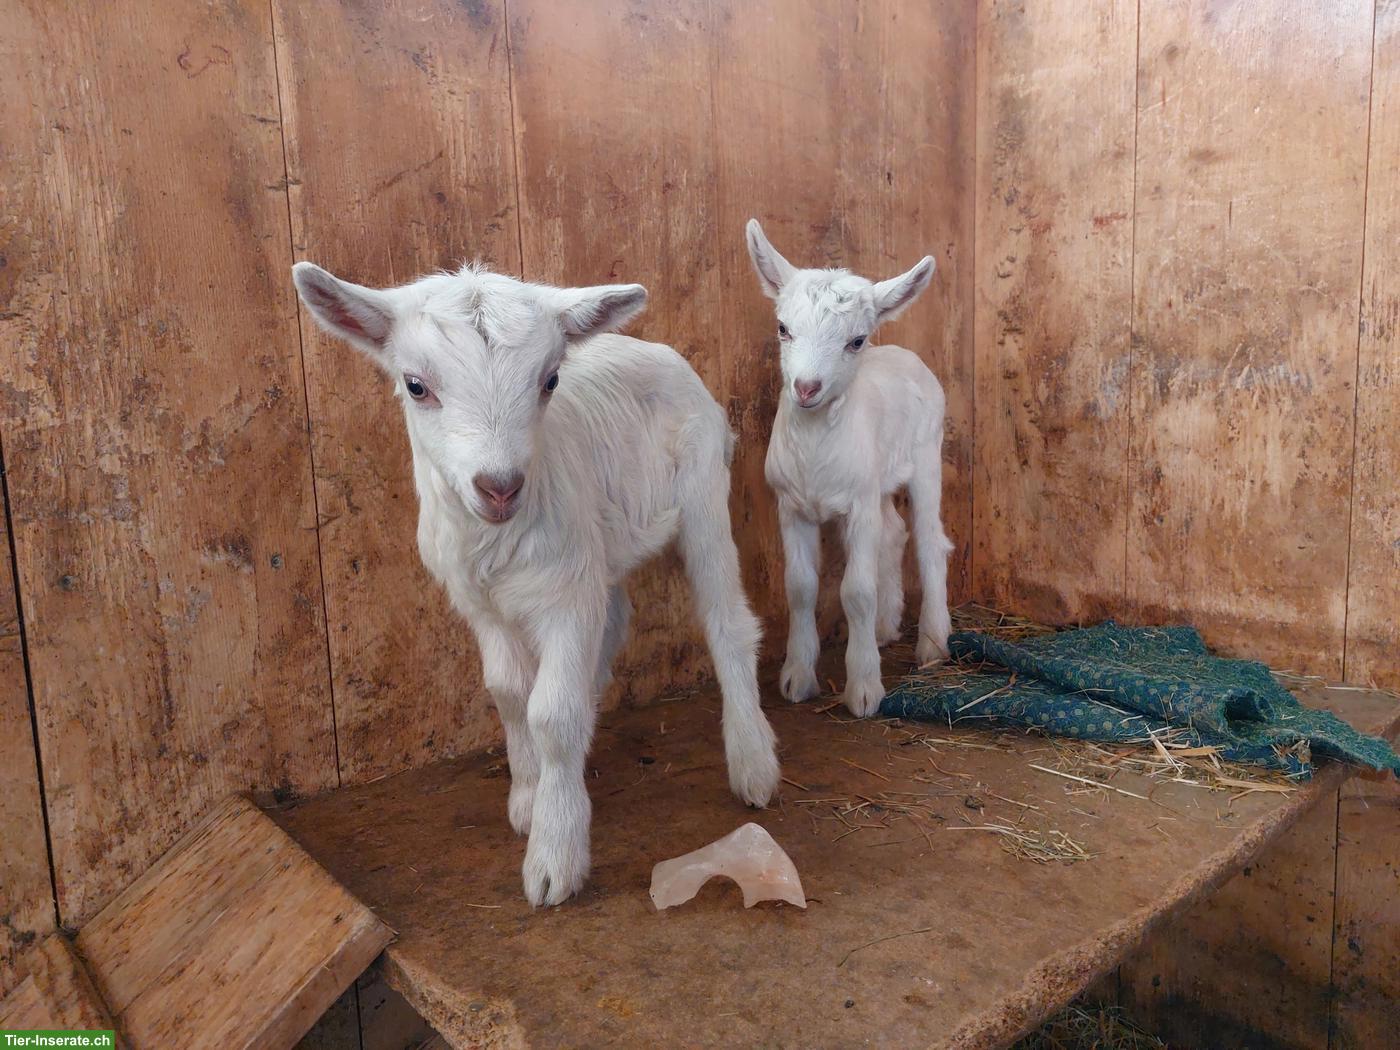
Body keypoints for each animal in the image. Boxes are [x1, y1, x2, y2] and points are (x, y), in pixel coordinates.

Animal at [292, 261, 780, 905]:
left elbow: (553, 714)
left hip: (703, 494)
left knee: (728, 624)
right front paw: (531, 797)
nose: (500, 487)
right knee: (613, 621)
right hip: (600, 545)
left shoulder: (566, 598)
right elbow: (509, 692)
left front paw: (555, 853)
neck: (495, 537)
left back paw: (753, 764)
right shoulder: (483, 603)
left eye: (550, 381)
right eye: (416, 386)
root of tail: (650, 347)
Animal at [744, 219, 954, 718]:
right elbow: (800, 587)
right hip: (877, 480)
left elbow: (856, 592)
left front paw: (863, 689)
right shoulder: (792, 505)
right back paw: (884, 627)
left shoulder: (858, 505)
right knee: (894, 531)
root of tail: (903, 353)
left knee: (929, 541)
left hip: (926, 455)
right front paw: (797, 678)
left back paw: (932, 643)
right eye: (783, 328)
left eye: (856, 341)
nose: (806, 387)